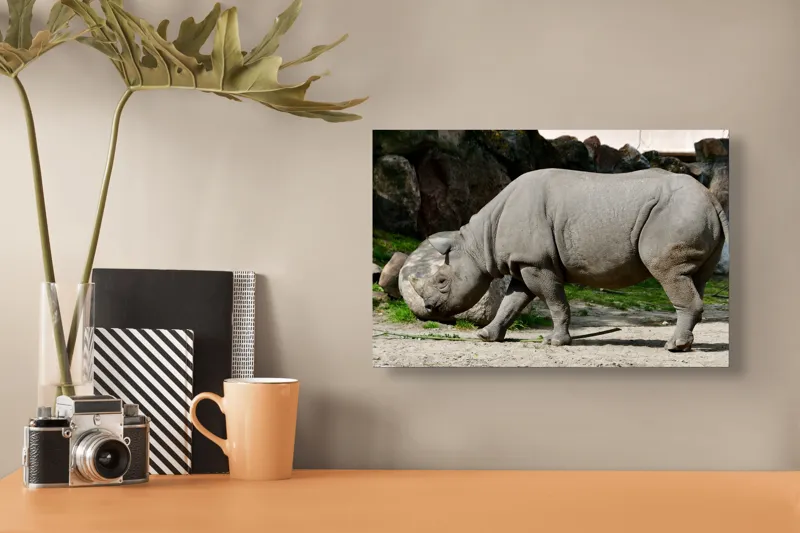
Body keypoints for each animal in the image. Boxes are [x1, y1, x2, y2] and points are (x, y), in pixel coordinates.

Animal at [409, 167, 729, 352]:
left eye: (442, 281)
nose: (429, 308)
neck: (478, 243)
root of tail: (711, 199)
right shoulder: (525, 263)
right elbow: (511, 303)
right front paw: (487, 337)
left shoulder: (537, 263)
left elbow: (554, 301)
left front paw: (555, 342)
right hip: (692, 214)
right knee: (695, 277)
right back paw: (685, 345)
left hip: (675, 214)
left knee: (669, 273)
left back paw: (672, 347)